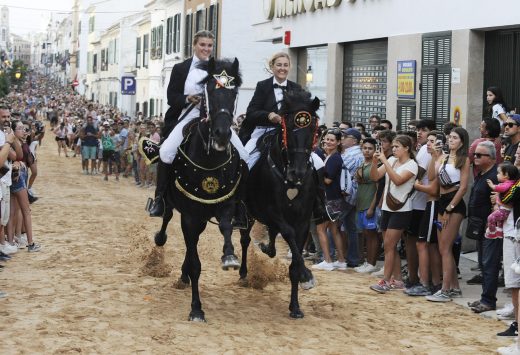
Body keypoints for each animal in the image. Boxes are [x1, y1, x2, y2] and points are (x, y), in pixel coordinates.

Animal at [154, 58, 244, 322]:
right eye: (210, 92)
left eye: (233, 93)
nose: (222, 135)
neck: (210, 159)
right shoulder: (190, 215)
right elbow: (196, 264)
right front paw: (196, 309)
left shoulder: (225, 204)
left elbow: (225, 227)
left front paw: (229, 256)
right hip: (179, 208)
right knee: (167, 217)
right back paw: (160, 236)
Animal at [240, 89, 320, 320]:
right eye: (289, 129)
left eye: (314, 130)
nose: (298, 173)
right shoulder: (273, 212)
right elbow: (288, 235)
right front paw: (307, 276)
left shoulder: (303, 222)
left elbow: (294, 259)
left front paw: (295, 307)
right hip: (247, 213)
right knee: (245, 240)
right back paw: (243, 273)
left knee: (271, 239)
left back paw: (267, 248)